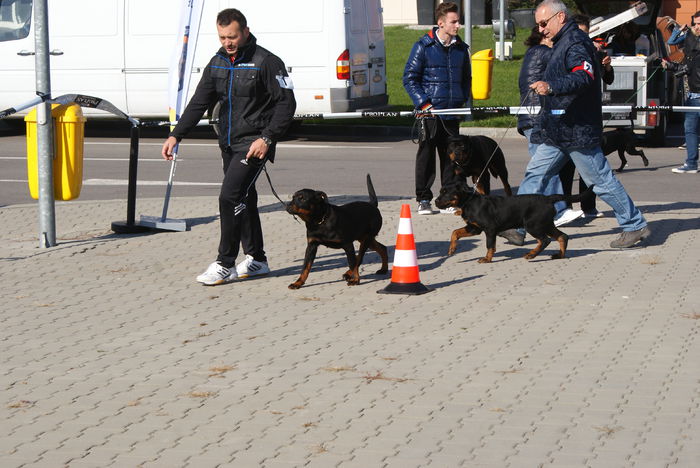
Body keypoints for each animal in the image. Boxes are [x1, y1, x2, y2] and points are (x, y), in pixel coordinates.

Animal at [434, 181, 592, 264]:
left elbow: (490, 245)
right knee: (562, 236)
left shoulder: (489, 229)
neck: (469, 202)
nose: (435, 201)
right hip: (545, 224)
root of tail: (548, 199)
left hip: (533, 225)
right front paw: (452, 249)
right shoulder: (473, 228)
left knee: (545, 240)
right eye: (440, 191)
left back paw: (531, 255)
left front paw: (487, 259)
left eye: (446, 193)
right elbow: (455, 232)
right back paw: (559, 255)